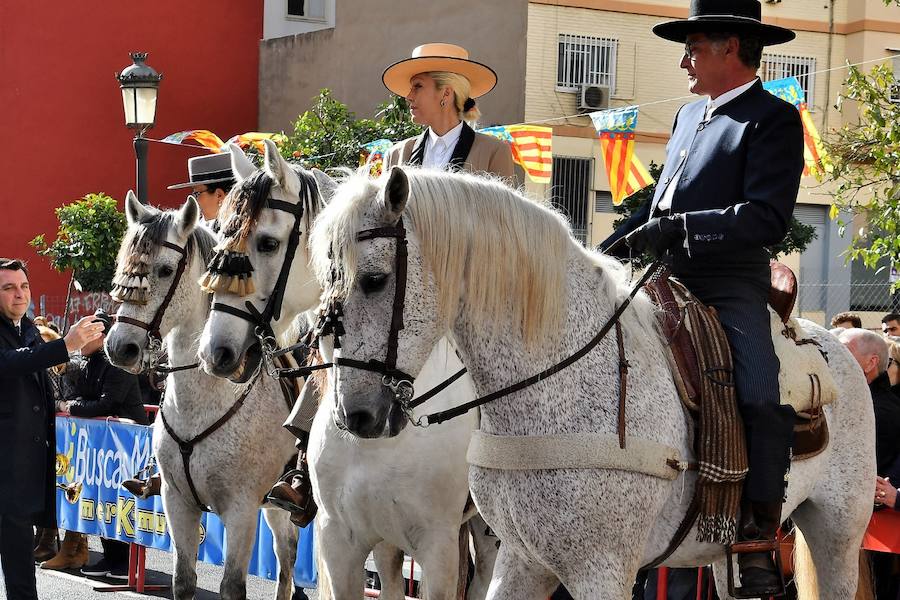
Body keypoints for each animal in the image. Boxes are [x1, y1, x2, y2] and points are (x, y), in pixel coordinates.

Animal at [106, 195, 298, 600]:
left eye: (165, 270)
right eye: (123, 266)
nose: (119, 348)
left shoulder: (241, 511)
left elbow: (232, 586)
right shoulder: (177, 503)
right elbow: (183, 580)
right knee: (286, 556)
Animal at [308, 166, 872, 600]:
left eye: (374, 280)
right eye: (325, 283)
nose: (355, 415)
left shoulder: (600, 571)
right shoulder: (522, 559)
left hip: (838, 534)